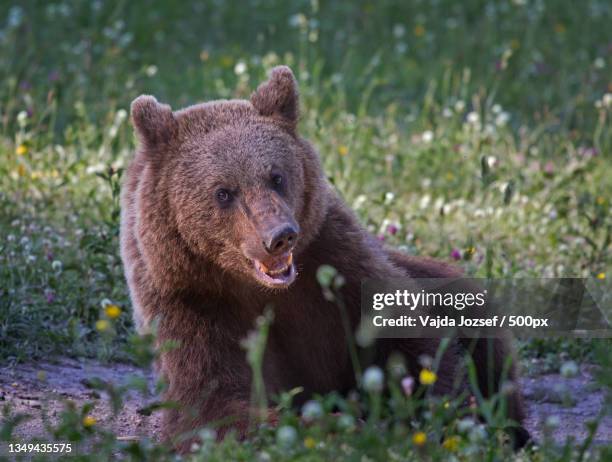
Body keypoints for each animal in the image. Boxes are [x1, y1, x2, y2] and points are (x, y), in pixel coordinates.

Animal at [119, 64, 524, 452]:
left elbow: (411, 340)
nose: (279, 236)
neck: (256, 289)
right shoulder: (193, 306)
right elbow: (216, 407)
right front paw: (336, 427)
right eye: (224, 192)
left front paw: (442, 416)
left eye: (276, 176)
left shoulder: (334, 263)